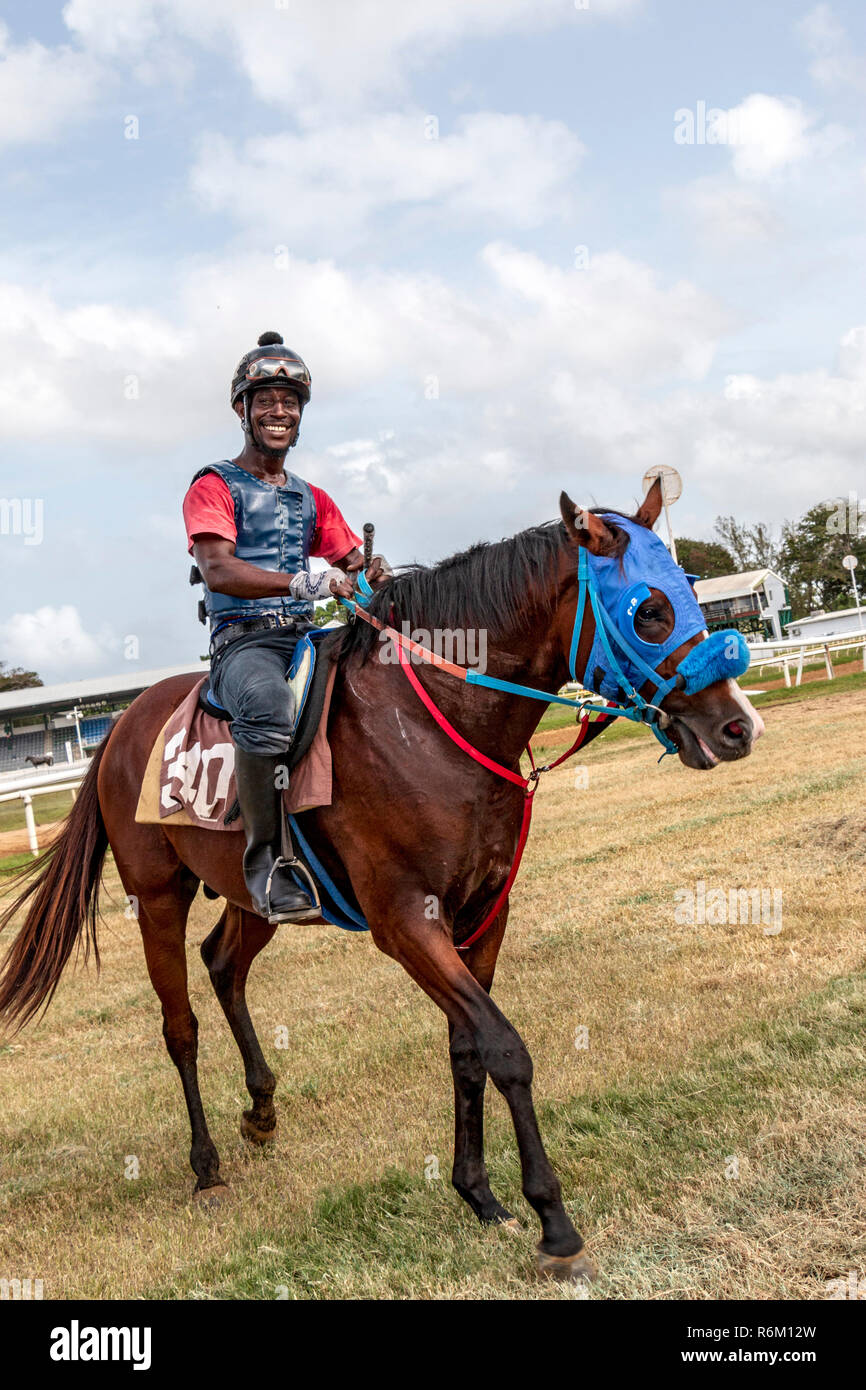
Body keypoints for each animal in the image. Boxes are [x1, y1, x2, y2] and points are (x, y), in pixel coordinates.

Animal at [0, 486, 761, 1278]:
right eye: (650, 611)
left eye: (689, 590)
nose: (737, 726)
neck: (432, 725)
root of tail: (121, 725)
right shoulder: (407, 924)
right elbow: (506, 1050)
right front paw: (553, 1221)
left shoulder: (482, 914)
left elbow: (467, 1050)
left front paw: (479, 1195)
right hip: (155, 898)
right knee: (180, 1026)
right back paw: (205, 1166)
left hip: (254, 894)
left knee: (224, 963)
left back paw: (261, 1111)